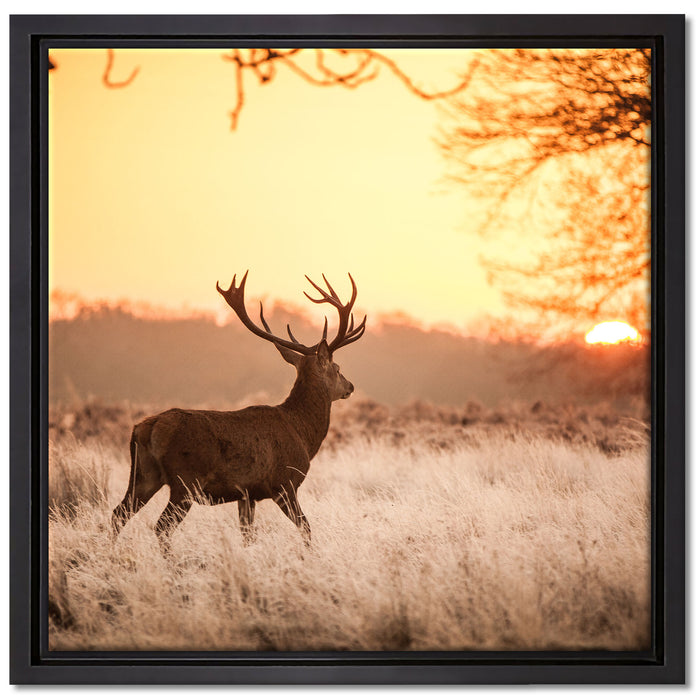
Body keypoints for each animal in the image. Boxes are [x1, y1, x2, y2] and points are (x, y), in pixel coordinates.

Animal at [111, 272, 365, 548]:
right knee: (161, 526)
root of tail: (147, 428)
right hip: (185, 480)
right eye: (337, 368)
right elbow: (306, 528)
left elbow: (247, 535)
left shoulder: (247, 494)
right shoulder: (284, 483)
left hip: (143, 475)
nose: (350, 386)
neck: (302, 432)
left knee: (118, 513)